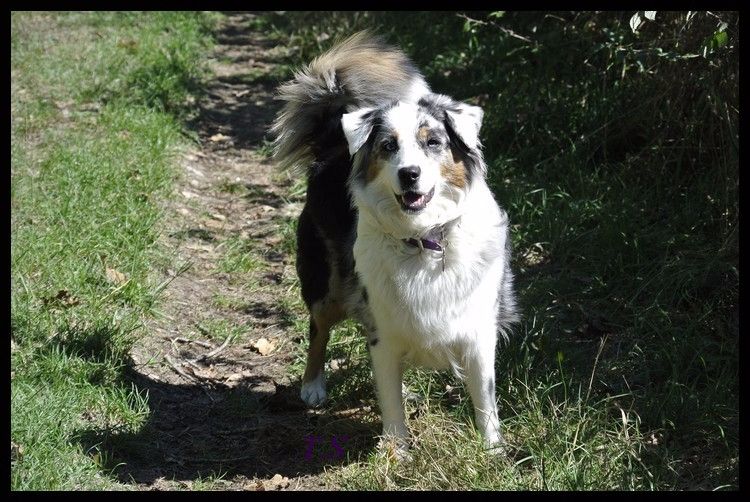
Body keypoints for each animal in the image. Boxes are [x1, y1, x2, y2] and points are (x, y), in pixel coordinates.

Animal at [274, 32, 520, 454]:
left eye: (433, 142)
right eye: (388, 146)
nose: (409, 174)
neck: (424, 240)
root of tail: (335, 145)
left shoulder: (478, 329)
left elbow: (485, 400)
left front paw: (493, 452)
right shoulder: (382, 327)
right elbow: (388, 396)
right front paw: (396, 452)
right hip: (328, 285)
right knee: (318, 329)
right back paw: (313, 386)